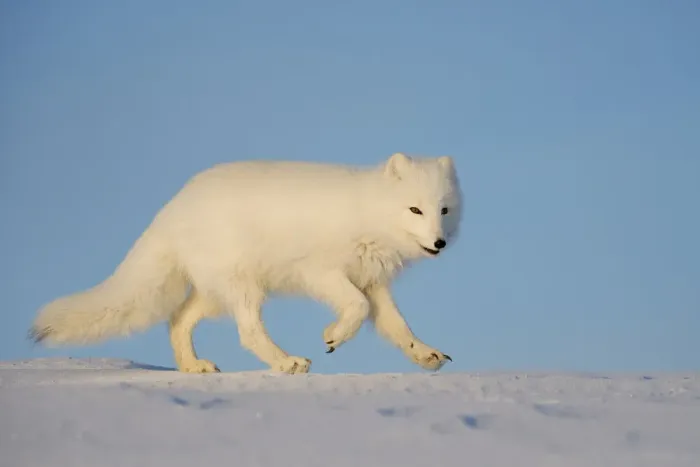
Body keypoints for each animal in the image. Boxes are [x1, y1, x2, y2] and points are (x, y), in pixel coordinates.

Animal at [29, 152, 463, 374]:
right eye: (415, 209)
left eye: (443, 210)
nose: (439, 243)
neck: (367, 211)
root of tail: (174, 206)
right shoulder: (320, 271)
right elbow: (355, 308)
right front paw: (332, 335)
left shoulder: (373, 281)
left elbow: (398, 326)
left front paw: (424, 354)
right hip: (243, 287)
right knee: (248, 333)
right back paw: (286, 362)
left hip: (214, 293)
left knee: (178, 319)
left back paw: (192, 367)